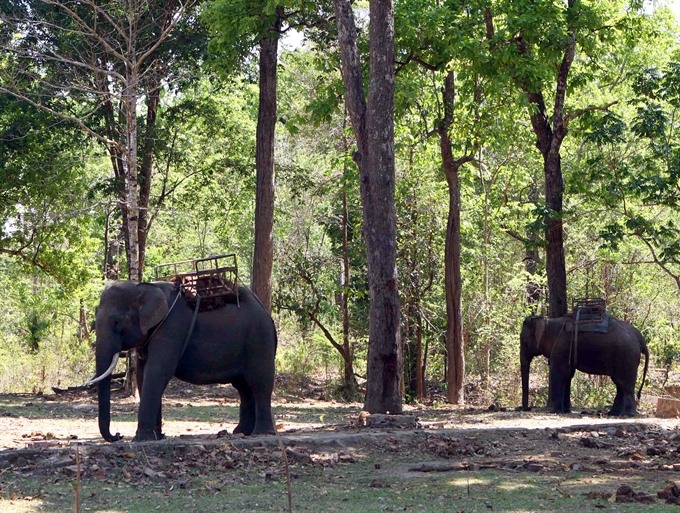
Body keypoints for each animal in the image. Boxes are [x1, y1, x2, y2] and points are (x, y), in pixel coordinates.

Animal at [88, 280, 277, 442]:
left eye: (117, 323)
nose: (118, 435)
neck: (144, 287)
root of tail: (267, 314)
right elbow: (143, 375)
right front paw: (157, 437)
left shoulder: (172, 328)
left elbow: (157, 371)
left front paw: (142, 439)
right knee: (244, 388)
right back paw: (242, 432)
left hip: (260, 340)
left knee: (259, 383)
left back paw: (261, 433)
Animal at [520, 314, 649, 416]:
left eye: (525, 342)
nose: (527, 408)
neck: (548, 321)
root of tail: (640, 338)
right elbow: (568, 375)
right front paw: (565, 411)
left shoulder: (561, 348)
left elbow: (559, 373)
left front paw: (554, 411)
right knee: (619, 384)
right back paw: (614, 414)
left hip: (627, 357)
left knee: (625, 384)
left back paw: (627, 415)